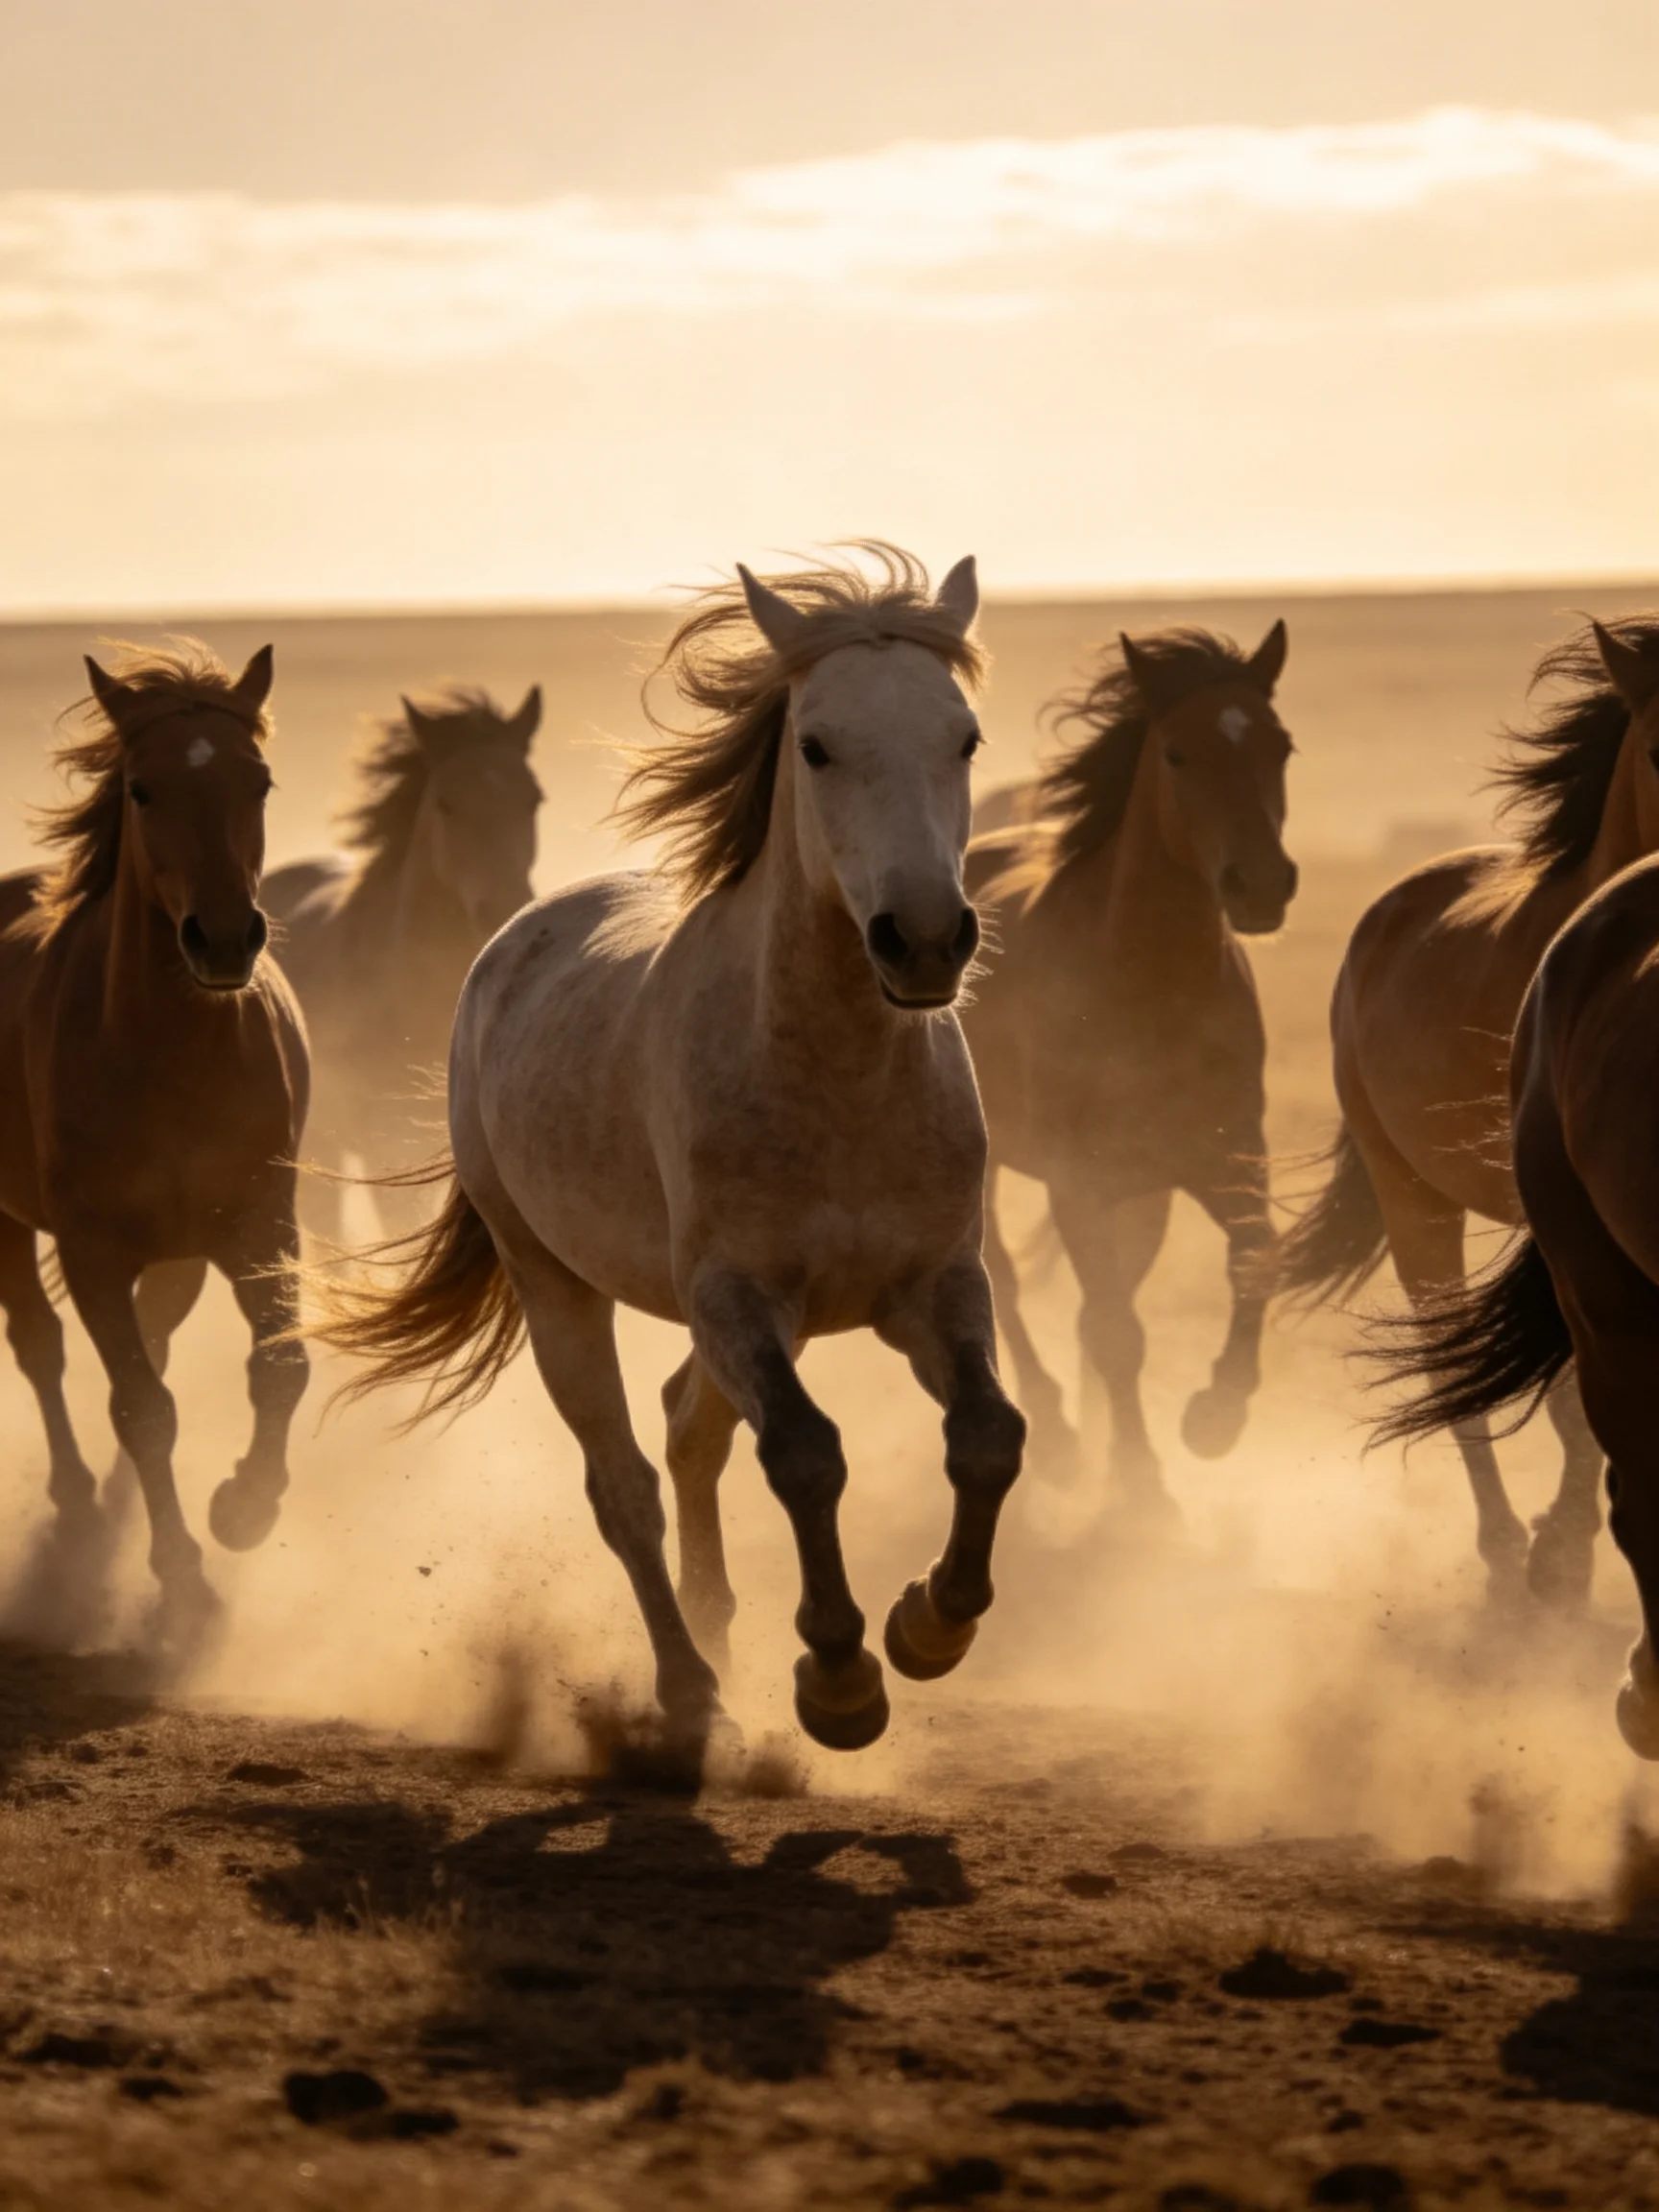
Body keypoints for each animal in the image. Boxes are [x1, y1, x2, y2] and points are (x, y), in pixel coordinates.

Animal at [0, 641, 309, 1631]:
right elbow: (141, 1408)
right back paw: (75, 1500)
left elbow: (280, 1365)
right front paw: (180, 1575)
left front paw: (245, 1507)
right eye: (141, 789)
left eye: (258, 780)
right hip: (8, 1224)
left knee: (157, 1333)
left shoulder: (260, 1226)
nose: (224, 940)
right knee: (41, 1344)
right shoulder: (93, 1252)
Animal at [314, 545, 1025, 1753]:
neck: (837, 1082)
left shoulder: (932, 1284)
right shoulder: (738, 1297)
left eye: (964, 736)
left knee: (689, 1432)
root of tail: (509, 938)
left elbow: (987, 1433)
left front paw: (931, 1625)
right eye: (816, 744)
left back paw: (720, 1631)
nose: (926, 940)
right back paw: (691, 1687)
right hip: (556, 1287)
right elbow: (806, 1455)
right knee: (626, 1485)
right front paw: (839, 1680)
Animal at [961, 622, 1296, 1515]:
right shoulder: (1077, 1182)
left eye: (1280, 745)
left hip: (1141, 1195)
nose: (1261, 883)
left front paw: (1215, 1417)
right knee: (1006, 1282)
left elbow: (1256, 1258)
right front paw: (1144, 1487)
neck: (1150, 985)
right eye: (1177, 753)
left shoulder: (1219, 1159)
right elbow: (1115, 1332)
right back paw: (1058, 1441)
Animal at [1276, 615, 1659, 1605]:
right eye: (1657, 744)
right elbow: (1564, 1399)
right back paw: (1503, 1547)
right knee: (1447, 1359)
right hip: (1414, 1200)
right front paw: (1559, 1558)